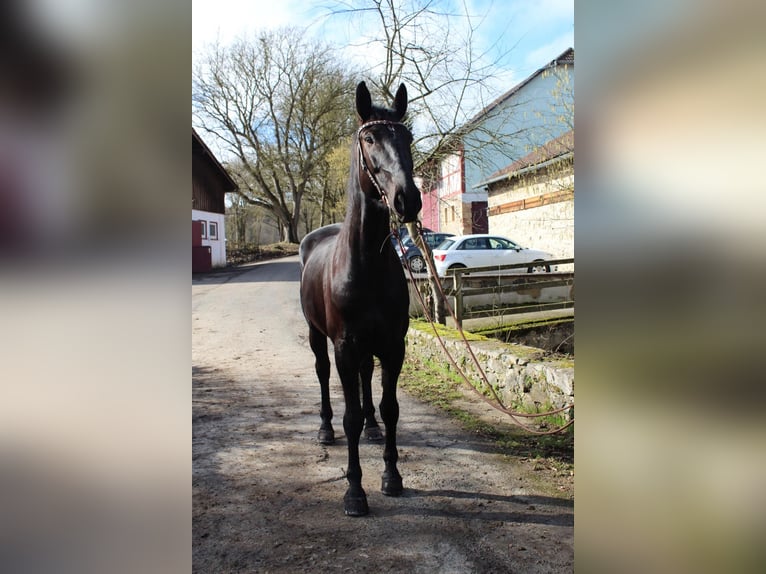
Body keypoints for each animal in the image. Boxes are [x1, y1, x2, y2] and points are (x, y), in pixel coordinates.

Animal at [299, 81, 422, 516]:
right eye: (369, 139)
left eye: (408, 137)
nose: (407, 200)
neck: (365, 261)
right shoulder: (345, 346)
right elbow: (349, 416)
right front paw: (355, 491)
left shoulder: (393, 345)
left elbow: (390, 407)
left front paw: (392, 476)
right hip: (317, 336)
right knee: (322, 375)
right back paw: (324, 428)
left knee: (368, 380)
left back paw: (372, 429)